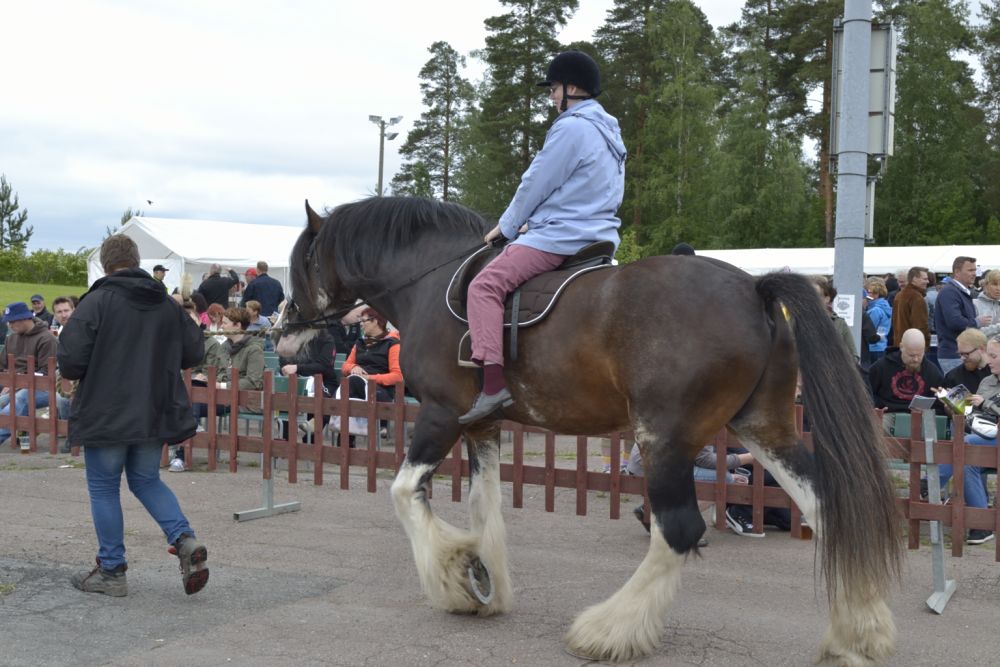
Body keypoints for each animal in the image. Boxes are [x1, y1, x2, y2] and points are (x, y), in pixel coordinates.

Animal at [275, 196, 902, 665]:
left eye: (301, 263)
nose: (284, 335)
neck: (429, 280)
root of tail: (753, 288)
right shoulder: (483, 427)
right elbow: (484, 506)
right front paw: (485, 580)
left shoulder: (440, 414)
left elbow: (406, 494)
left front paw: (456, 576)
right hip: (763, 429)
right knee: (823, 506)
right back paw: (858, 633)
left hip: (664, 441)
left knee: (677, 529)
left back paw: (609, 630)